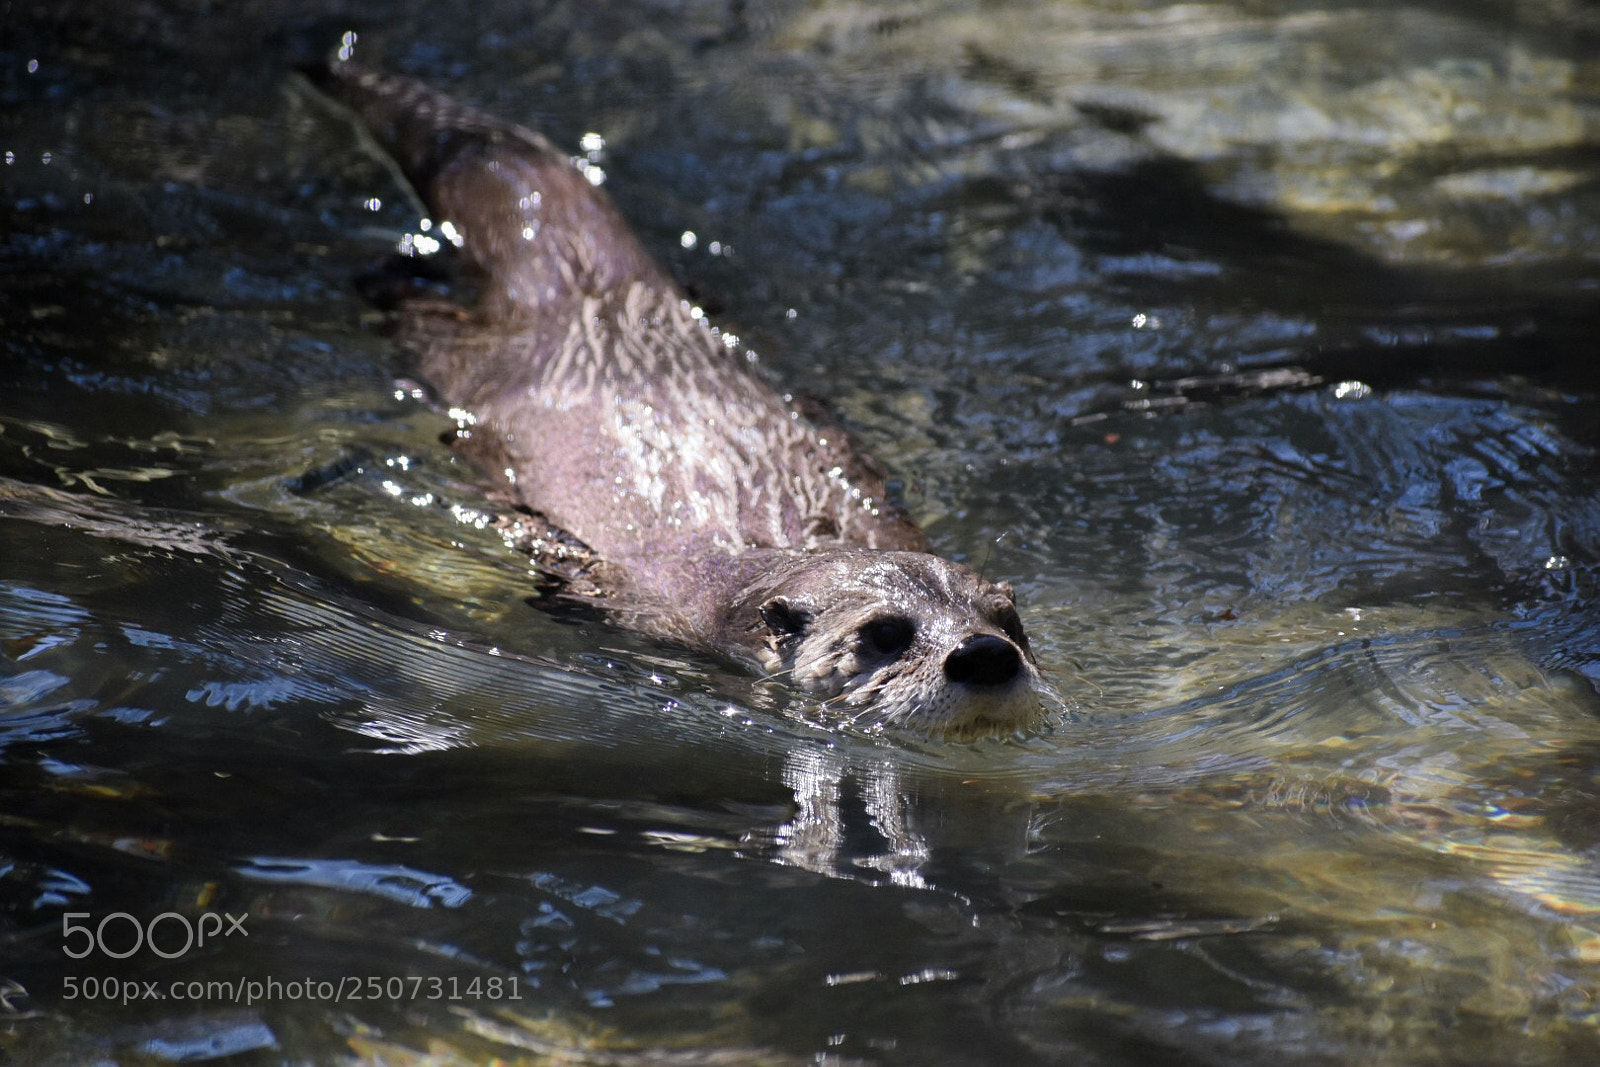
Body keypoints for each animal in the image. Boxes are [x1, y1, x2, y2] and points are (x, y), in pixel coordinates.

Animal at [304, 60, 1047, 738]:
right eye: (886, 632)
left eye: (1009, 621)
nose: (984, 653)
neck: (759, 572)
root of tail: (597, 292)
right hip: (461, 355)